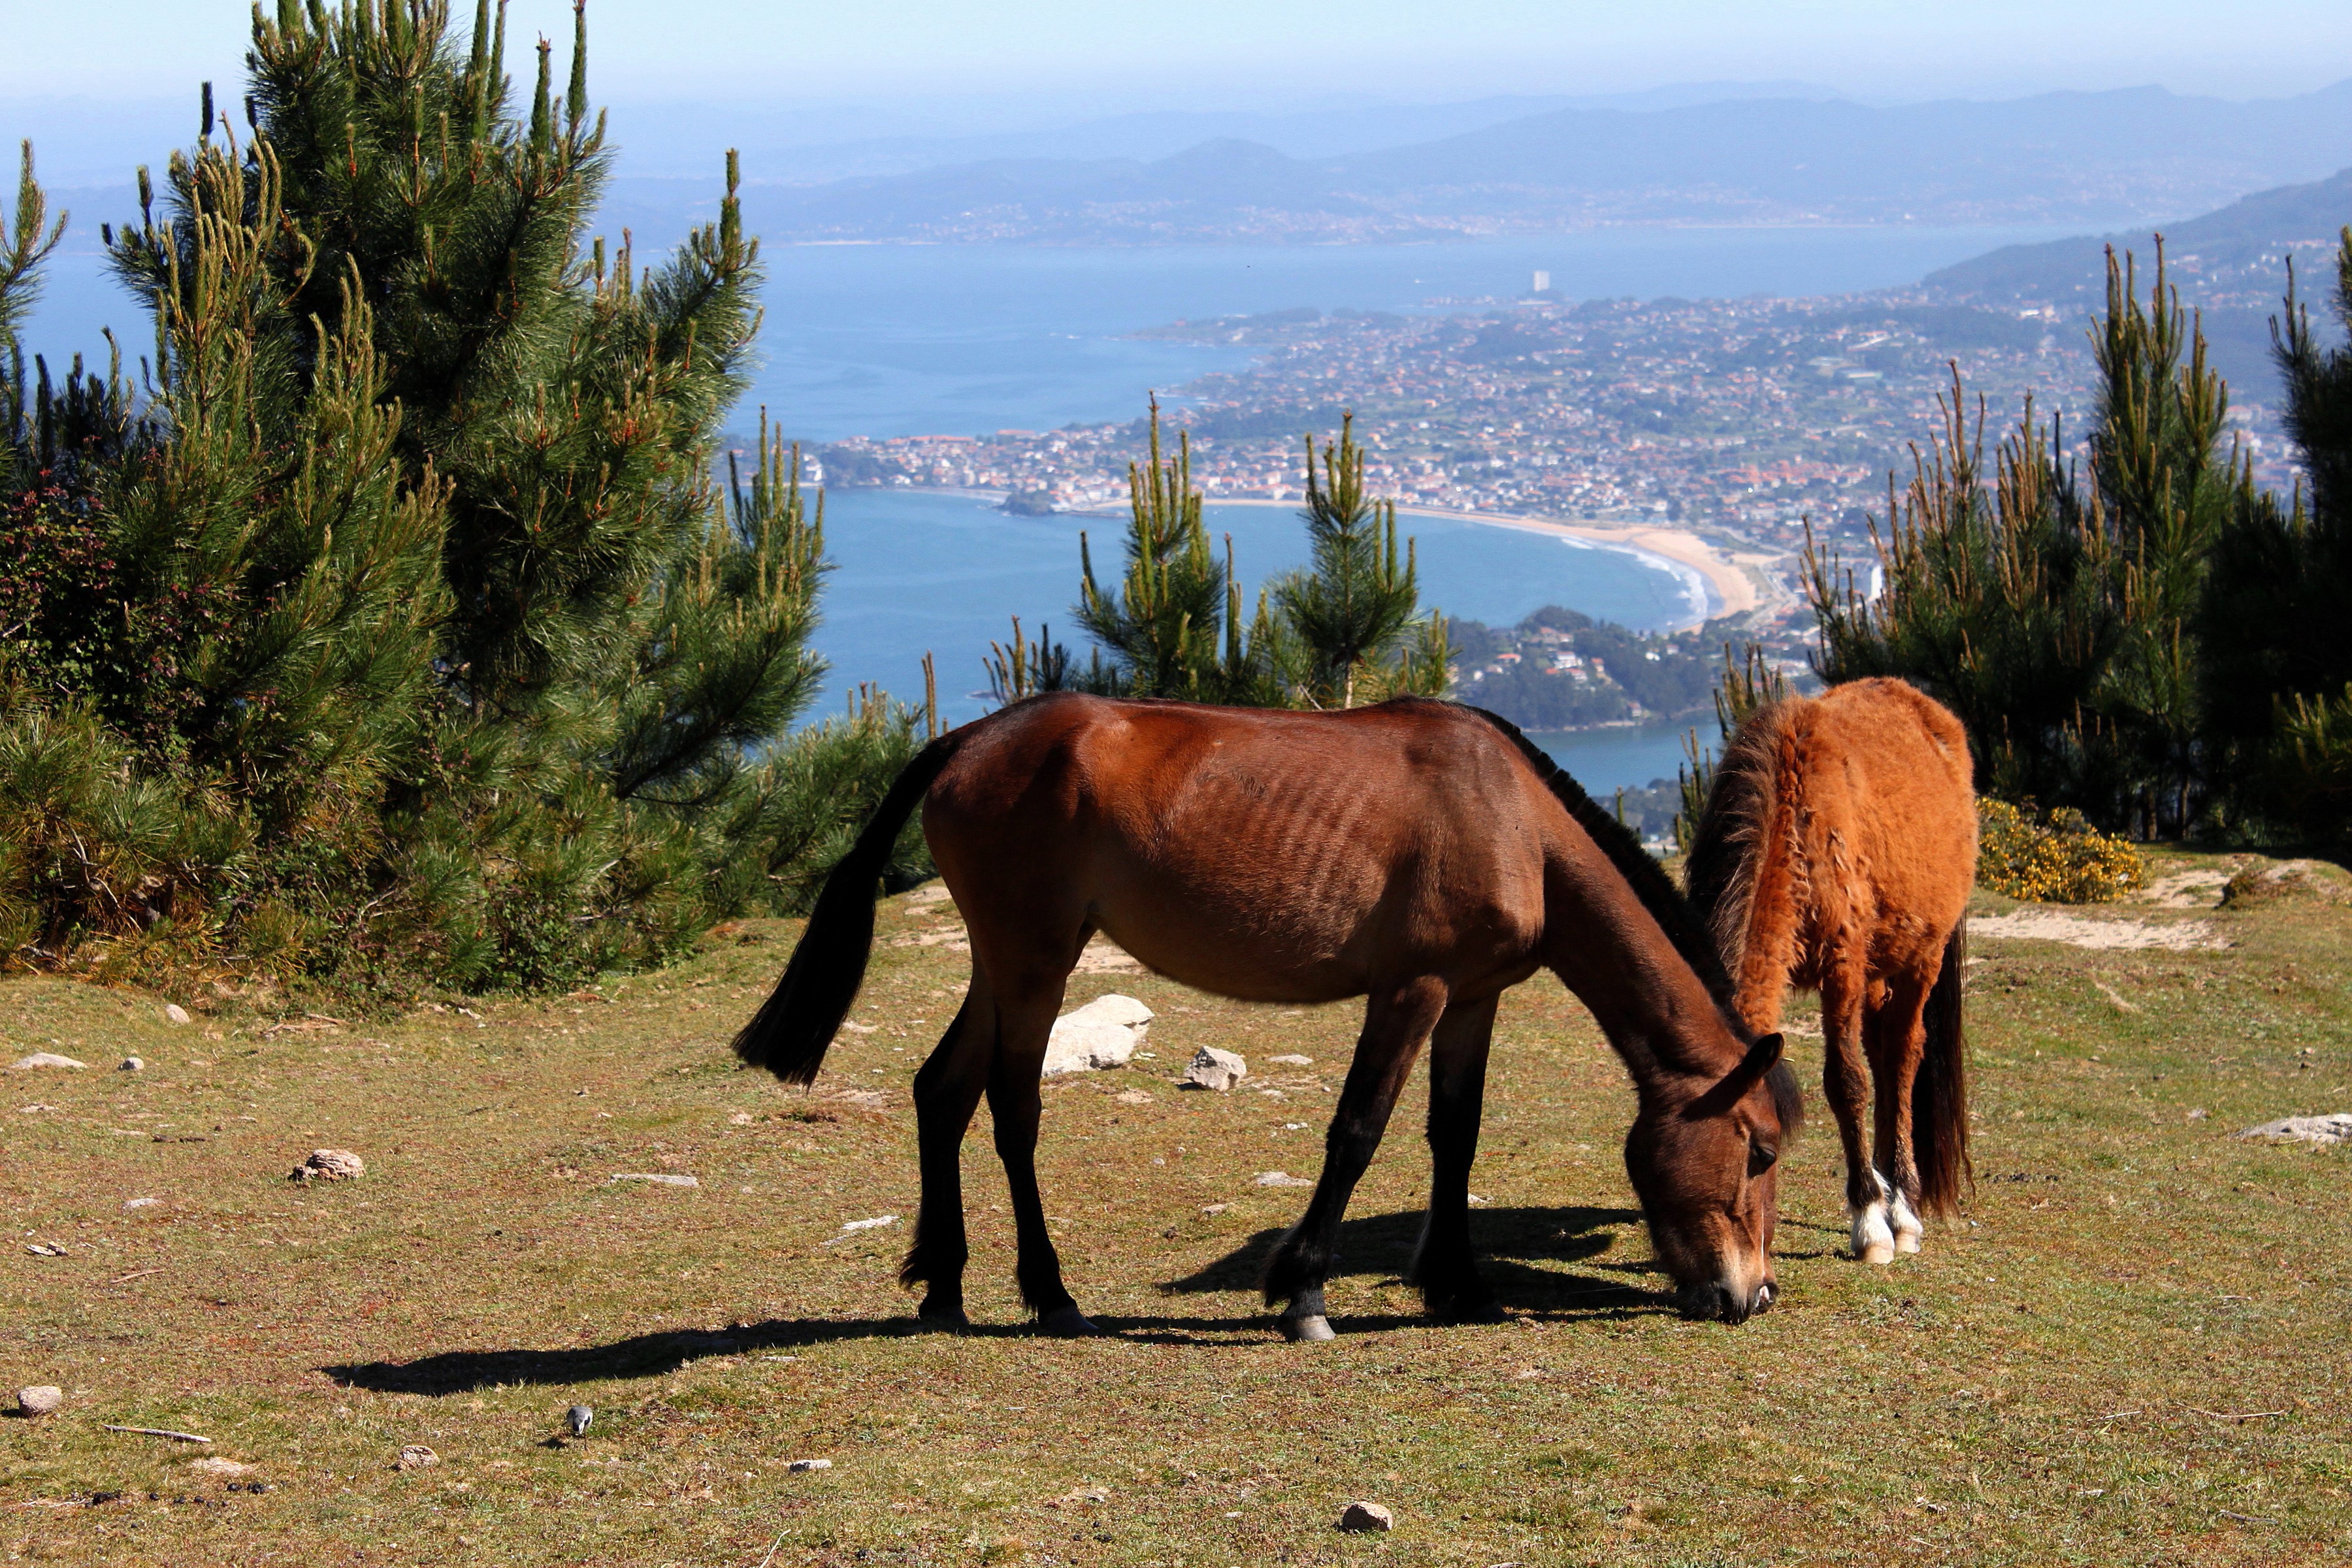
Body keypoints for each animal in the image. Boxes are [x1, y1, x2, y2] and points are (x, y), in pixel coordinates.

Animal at [733, 692, 1800, 1339]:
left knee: (943, 1091)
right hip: (1034, 963)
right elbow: (1358, 1132)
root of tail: (969, 738)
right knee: (1011, 1108)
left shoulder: (1473, 996)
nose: (1752, 1293)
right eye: (1757, 1150)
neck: (1513, 821)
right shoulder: (1412, 990)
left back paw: (946, 1286)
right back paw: (1050, 1292)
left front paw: (1458, 1285)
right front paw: (1305, 1293)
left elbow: (1454, 1134)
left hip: (1005, 965)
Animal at [1682, 677, 1976, 1265]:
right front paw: (1873, 1201)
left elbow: (1845, 1083)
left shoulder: (1843, 965)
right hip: (1880, 966)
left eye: (1755, 1153)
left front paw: (1870, 1223)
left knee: (1903, 1057)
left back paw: (1901, 1208)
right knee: (1885, 1056)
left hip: (1920, 958)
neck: (1797, 820)